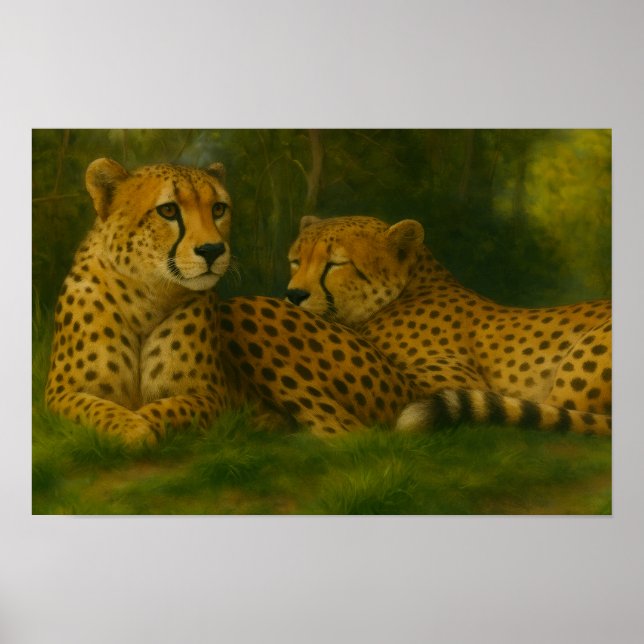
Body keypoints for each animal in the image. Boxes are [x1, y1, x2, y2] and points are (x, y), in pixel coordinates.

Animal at [45, 160, 421, 445]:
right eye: (168, 210)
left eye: (218, 208)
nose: (212, 250)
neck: (147, 295)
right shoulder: (61, 394)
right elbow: (98, 408)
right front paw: (131, 427)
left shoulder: (209, 396)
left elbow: (166, 408)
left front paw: (141, 424)